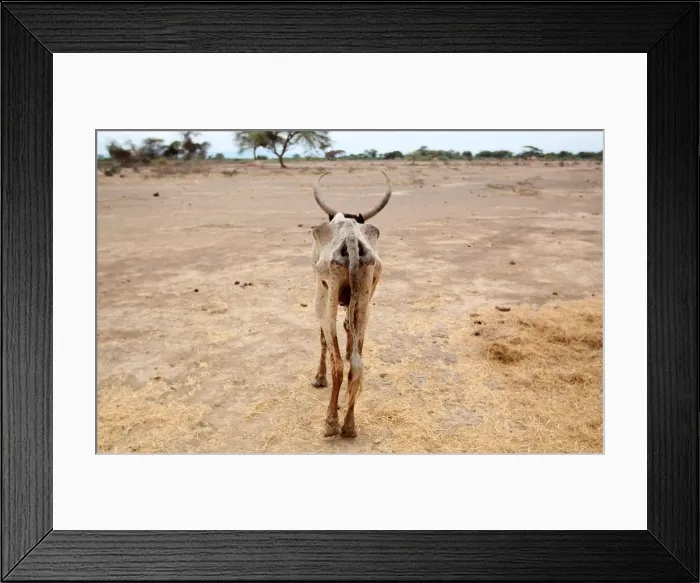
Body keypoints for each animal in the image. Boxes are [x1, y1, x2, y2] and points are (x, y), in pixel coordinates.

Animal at [309, 171, 392, 438]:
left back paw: (331, 423)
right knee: (356, 365)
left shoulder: (322, 291)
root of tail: (352, 239)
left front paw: (319, 378)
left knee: (337, 363)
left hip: (326, 298)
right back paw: (349, 426)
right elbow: (348, 328)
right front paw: (348, 349)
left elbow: (323, 340)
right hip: (366, 298)